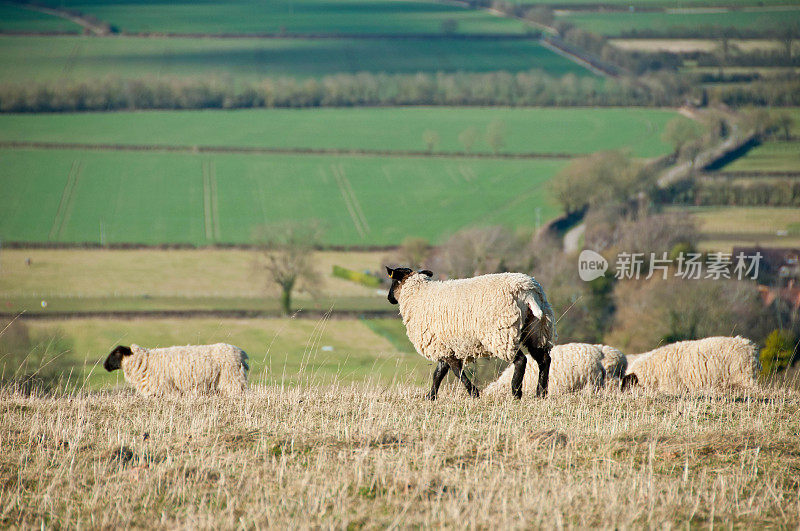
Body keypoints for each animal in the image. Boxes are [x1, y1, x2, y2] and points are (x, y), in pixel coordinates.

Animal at [103, 342, 248, 396]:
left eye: (116, 352)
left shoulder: (164, 388)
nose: (104, 365)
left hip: (233, 378)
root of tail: (241, 353)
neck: (144, 361)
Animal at [384, 268, 552, 402]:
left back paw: (516, 392)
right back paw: (541, 393)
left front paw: (474, 393)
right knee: (544, 359)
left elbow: (457, 372)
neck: (417, 294)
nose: (389, 298)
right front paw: (431, 396)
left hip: (502, 334)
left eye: (393, 281)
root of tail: (528, 291)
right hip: (538, 330)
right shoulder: (445, 346)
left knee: (521, 360)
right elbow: (438, 373)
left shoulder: (444, 347)